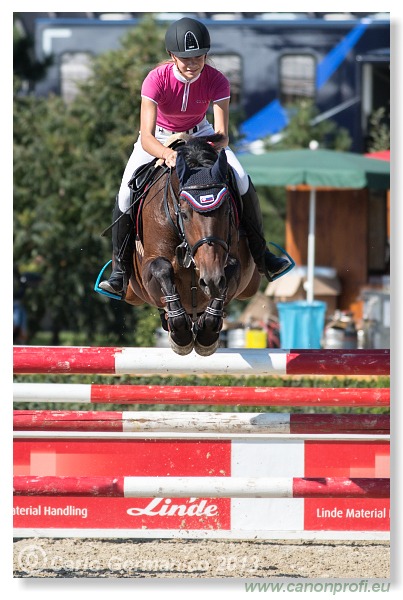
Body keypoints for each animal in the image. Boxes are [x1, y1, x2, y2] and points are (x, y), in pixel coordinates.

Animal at [107, 134, 260, 354]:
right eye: (185, 214)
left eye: (226, 211)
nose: (211, 279)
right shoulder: (149, 267)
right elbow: (162, 269)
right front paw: (181, 336)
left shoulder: (230, 263)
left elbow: (229, 271)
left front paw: (206, 335)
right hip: (131, 292)